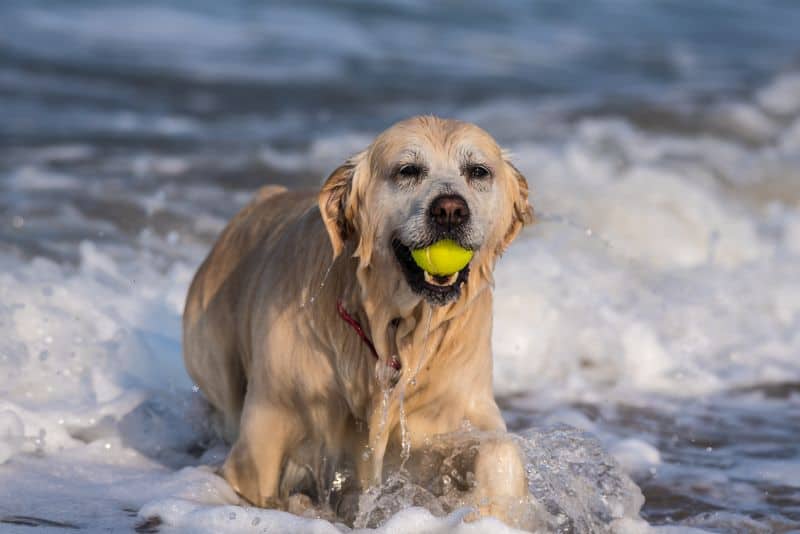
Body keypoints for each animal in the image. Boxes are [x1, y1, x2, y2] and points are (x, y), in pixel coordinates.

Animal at [184, 116, 536, 524]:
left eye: (478, 171)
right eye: (408, 170)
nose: (450, 210)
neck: (395, 329)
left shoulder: (457, 410)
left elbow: (500, 452)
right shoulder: (266, 429)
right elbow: (259, 482)